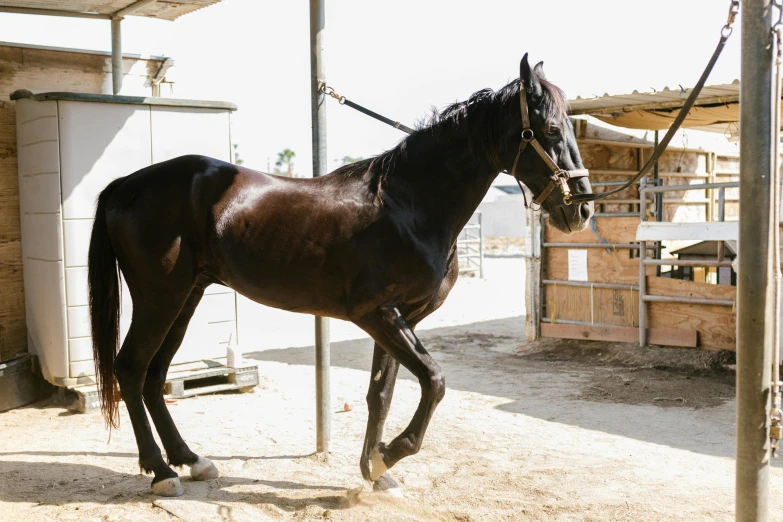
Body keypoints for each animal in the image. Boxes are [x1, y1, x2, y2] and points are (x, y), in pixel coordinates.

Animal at [87, 53, 596, 496]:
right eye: (551, 128)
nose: (582, 208)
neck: (407, 205)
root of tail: (124, 185)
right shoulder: (378, 314)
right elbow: (433, 381)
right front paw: (390, 455)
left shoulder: (402, 318)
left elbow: (381, 394)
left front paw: (375, 470)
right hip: (159, 297)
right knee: (131, 369)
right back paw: (160, 472)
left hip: (187, 296)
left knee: (155, 375)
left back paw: (191, 460)